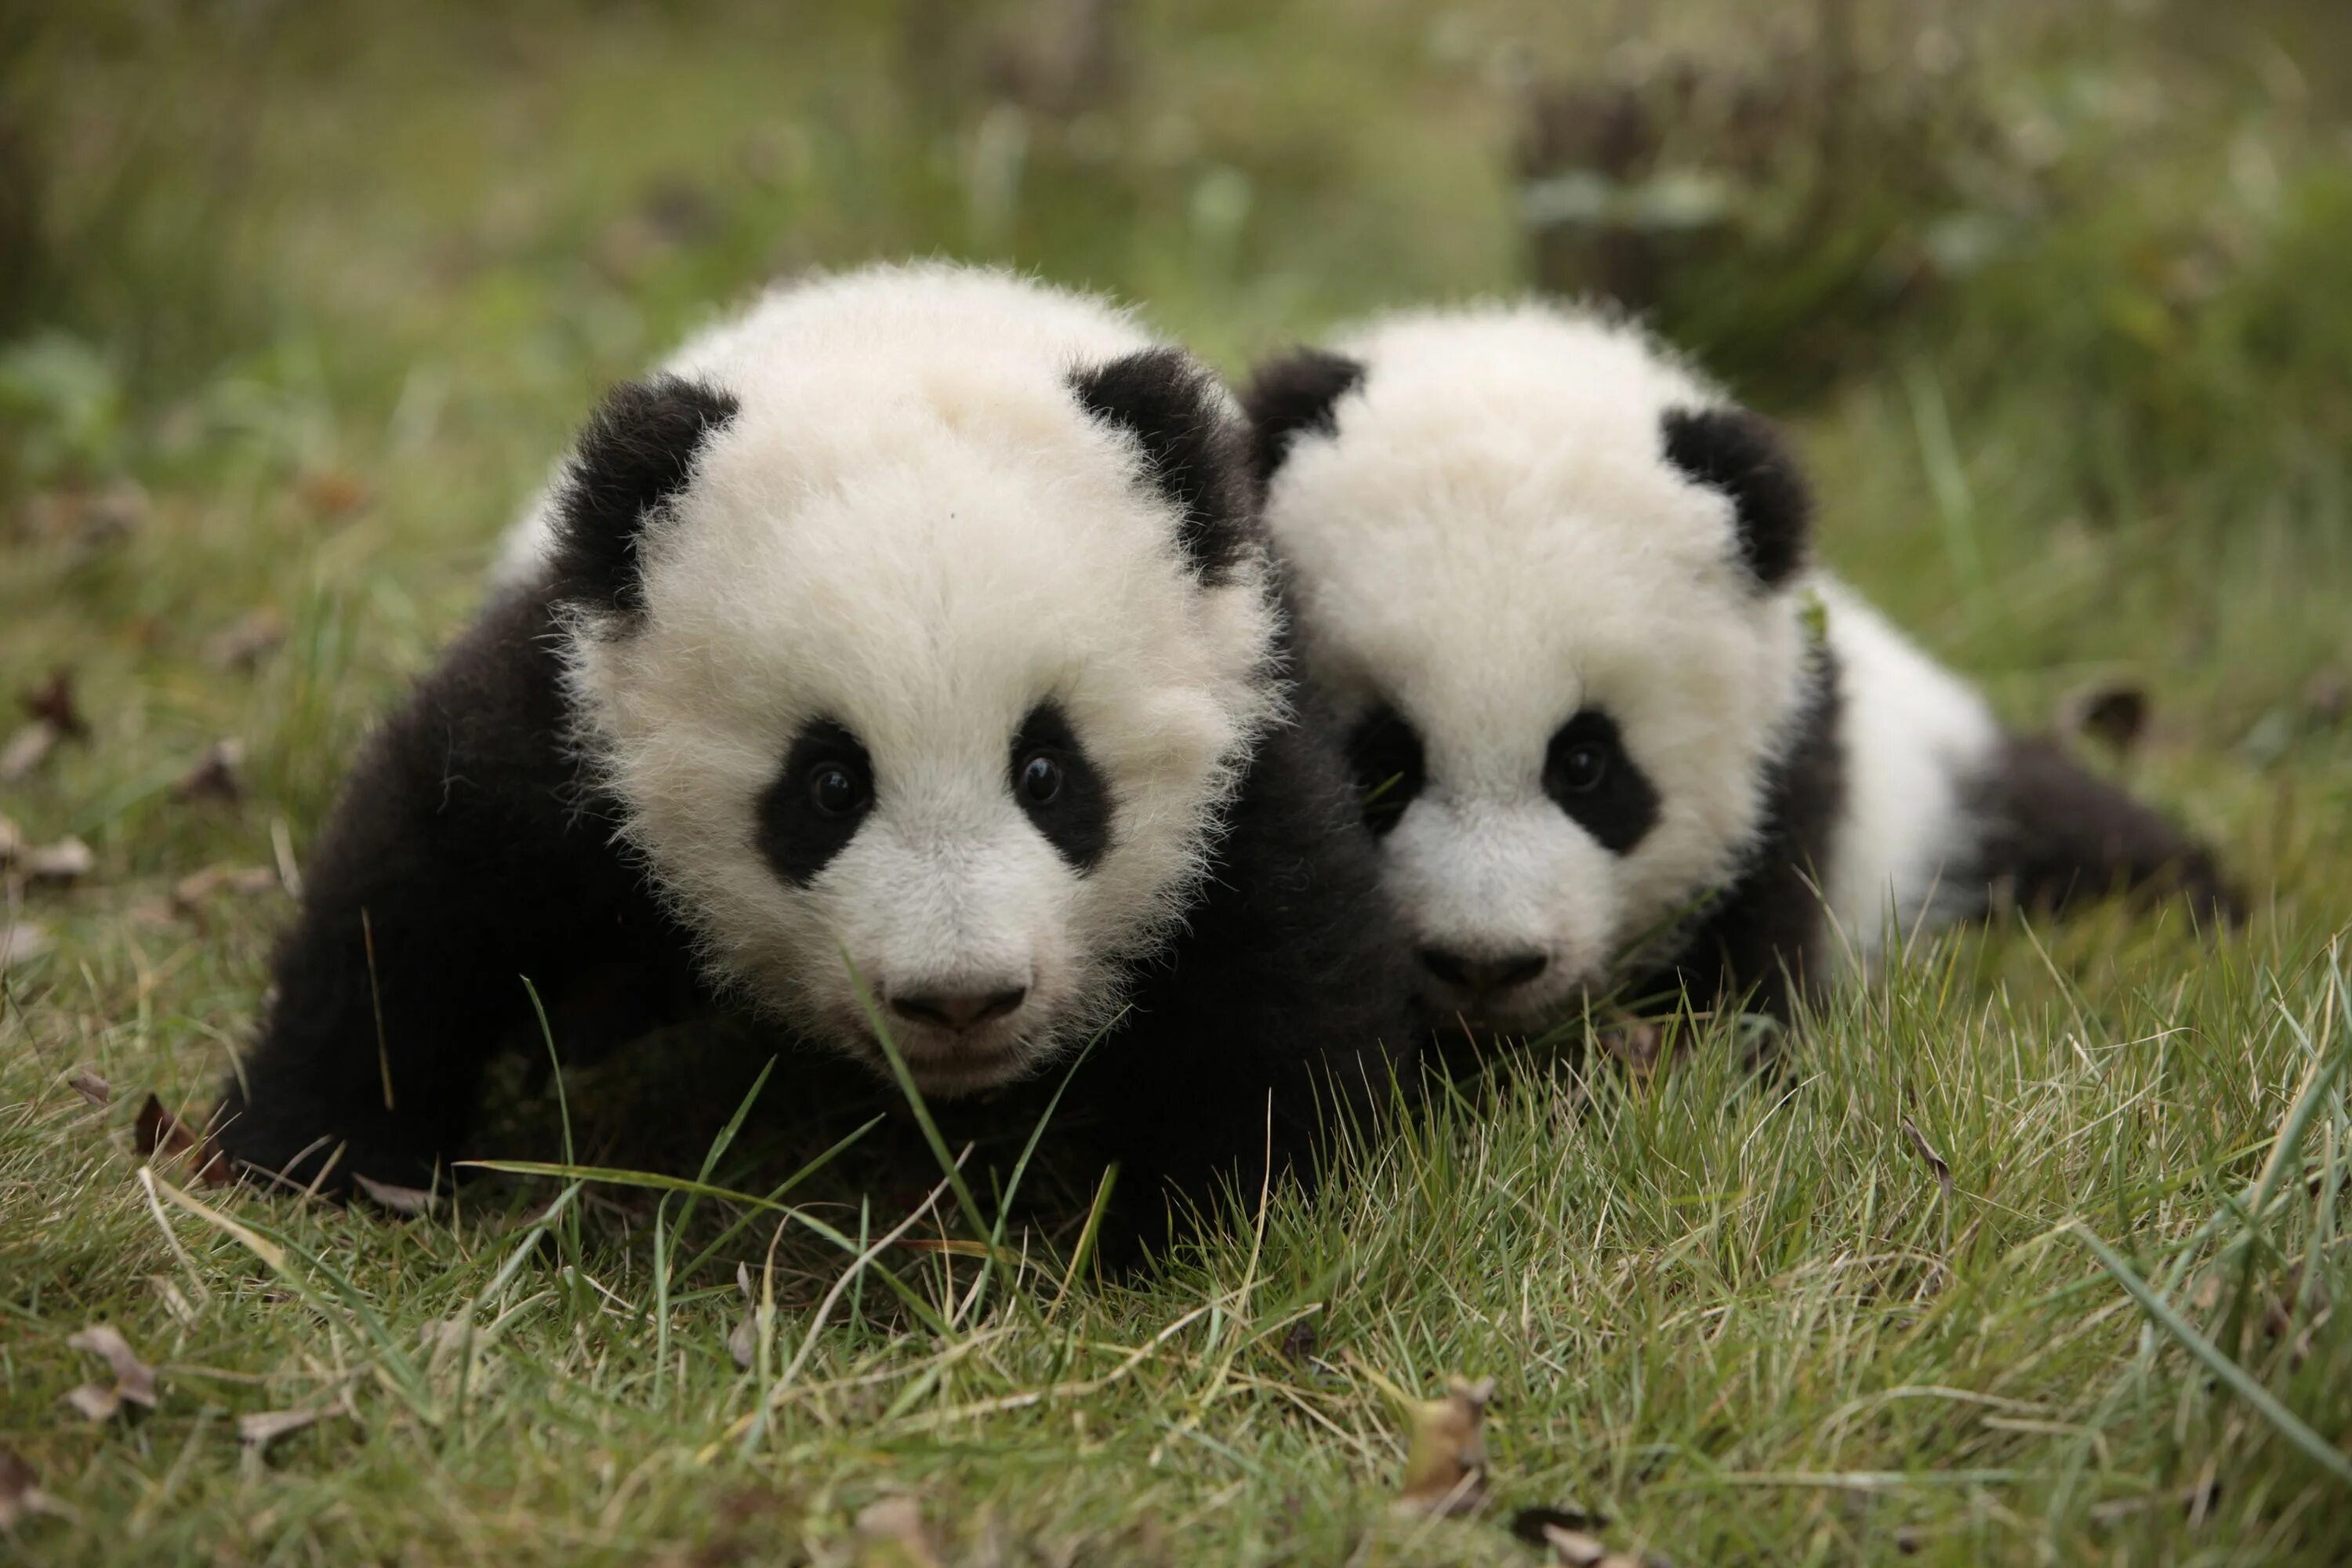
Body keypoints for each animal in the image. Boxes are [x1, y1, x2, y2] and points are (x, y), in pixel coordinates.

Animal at [216, 263, 1411, 1241]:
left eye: (1047, 774)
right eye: (829, 785)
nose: (958, 998)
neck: (900, 331)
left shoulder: (1242, 720)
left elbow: (1283, 976)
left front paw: (1197, 1232)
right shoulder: (576, 711)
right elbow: (426, 884)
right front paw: (312, 1155)